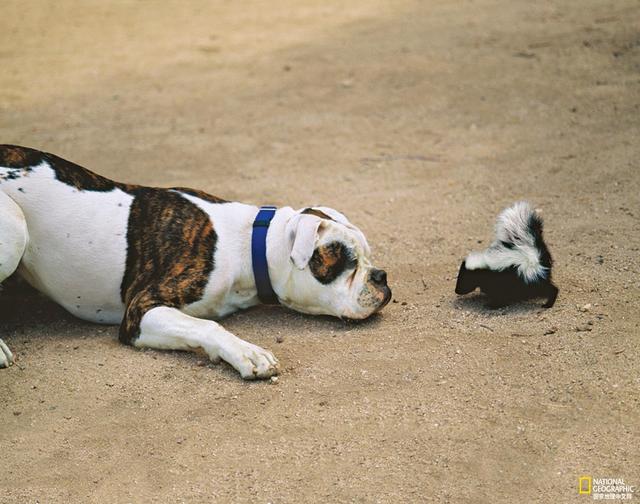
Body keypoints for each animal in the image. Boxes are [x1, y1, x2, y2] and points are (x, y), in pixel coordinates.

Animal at [0, 145, 392, 378]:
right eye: (346, 261)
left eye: (369, 258)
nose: (382, 276)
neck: (247, 243)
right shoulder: (141, 311)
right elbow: (207, 326)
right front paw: (247, 352)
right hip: (14, 225)